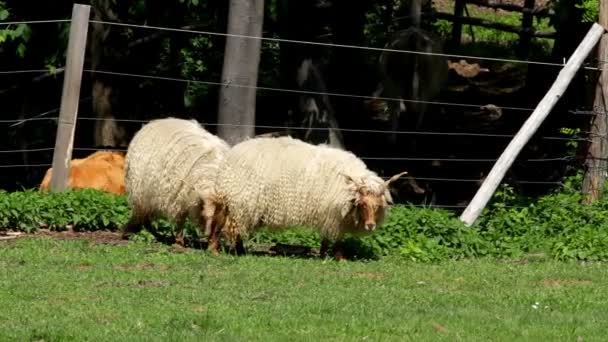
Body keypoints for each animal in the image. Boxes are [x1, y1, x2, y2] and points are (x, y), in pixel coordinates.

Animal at [122, 116, 229, 250]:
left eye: (220, 228)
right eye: (211, 223)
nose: (213, 251)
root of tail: (158, 121)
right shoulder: (178, 197)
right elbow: (180, 220)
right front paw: (179, 243)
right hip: (142, 191)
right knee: (142, 214)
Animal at [210, 136, 408, 260]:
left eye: (378, 205)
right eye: (363, 204)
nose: (370, 226)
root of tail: (232, 154)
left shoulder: (332, 214)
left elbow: (328, 237)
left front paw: (323, 254)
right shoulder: (333, 214)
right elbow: (336, 237)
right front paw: (339, 258)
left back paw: (237, 250)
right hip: (239, 200)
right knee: (223, 224)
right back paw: (217, 250)